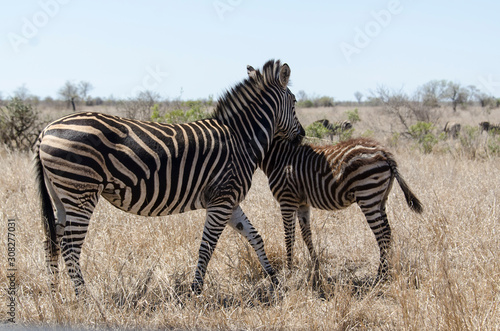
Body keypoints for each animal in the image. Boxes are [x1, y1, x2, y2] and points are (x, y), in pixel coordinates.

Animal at [33, 59, 304, 296]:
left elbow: (255, 236)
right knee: (69, 246)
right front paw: (195, 291)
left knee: (52, 241)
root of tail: (47, 129)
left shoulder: (228, 200)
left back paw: (55, 294)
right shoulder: (222, 200)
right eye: (294, 102)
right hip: (81, 192)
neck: (241, 138)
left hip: (61, 196)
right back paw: (84, 297)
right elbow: (207, 247)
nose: (302, 135)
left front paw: (274, 279)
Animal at [260, 138, 424, 288]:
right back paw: (386, 273)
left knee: (382, 235)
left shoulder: (287, 200)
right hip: (381, 198)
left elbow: (289, 237)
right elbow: (307, 236)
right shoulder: (302, 203)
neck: (277, 157)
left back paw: (380, 277)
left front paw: (289, 273)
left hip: (368, 194)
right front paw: (316, 269)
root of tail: (383, 151)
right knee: (388, 232)